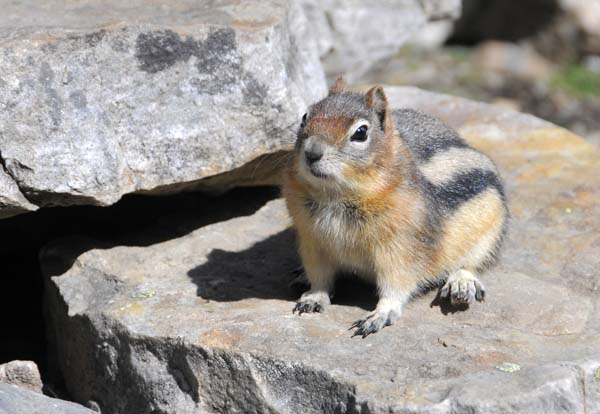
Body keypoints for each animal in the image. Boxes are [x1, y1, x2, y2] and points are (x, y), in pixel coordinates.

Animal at [284, 79, 508, 338]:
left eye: (360, 132)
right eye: (305, 116)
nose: (312, 153)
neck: (335, 195)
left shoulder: (399, 247)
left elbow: (396, 284)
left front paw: (380, 314)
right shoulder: (312, 241)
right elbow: (319, 275)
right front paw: (313, 296)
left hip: (489, 233)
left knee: (473, 262)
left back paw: (461, 282)